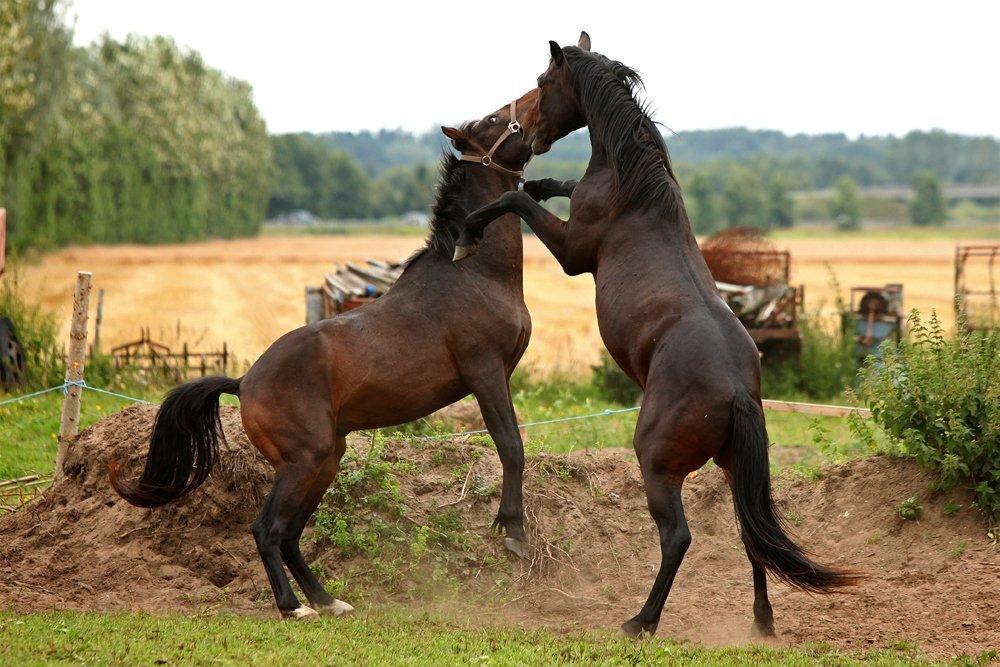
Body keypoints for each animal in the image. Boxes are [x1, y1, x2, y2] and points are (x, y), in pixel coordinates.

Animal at [111, 88, 540, 620]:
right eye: (494, 121)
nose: (533, 101)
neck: (473, 271)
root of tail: (244, 382)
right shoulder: (486, 373)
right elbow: (511, 446)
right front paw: (513, 534)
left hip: (325, 461)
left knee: (291, 535)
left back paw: (327, 600)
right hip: (304, 461)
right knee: (267, 529)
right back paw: (294, 606)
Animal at [458, 34, 856, 640]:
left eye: (544, 82)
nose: (527, 129)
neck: (632, 184)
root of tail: (737, 393)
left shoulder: (573, 254)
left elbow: (514, 201)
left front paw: (467, 231)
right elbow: (546, 191)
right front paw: (542, 183)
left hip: (657, 463)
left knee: (677, 537)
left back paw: (640, 621)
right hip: (732, 466)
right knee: (750, 534)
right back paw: (761, 621)